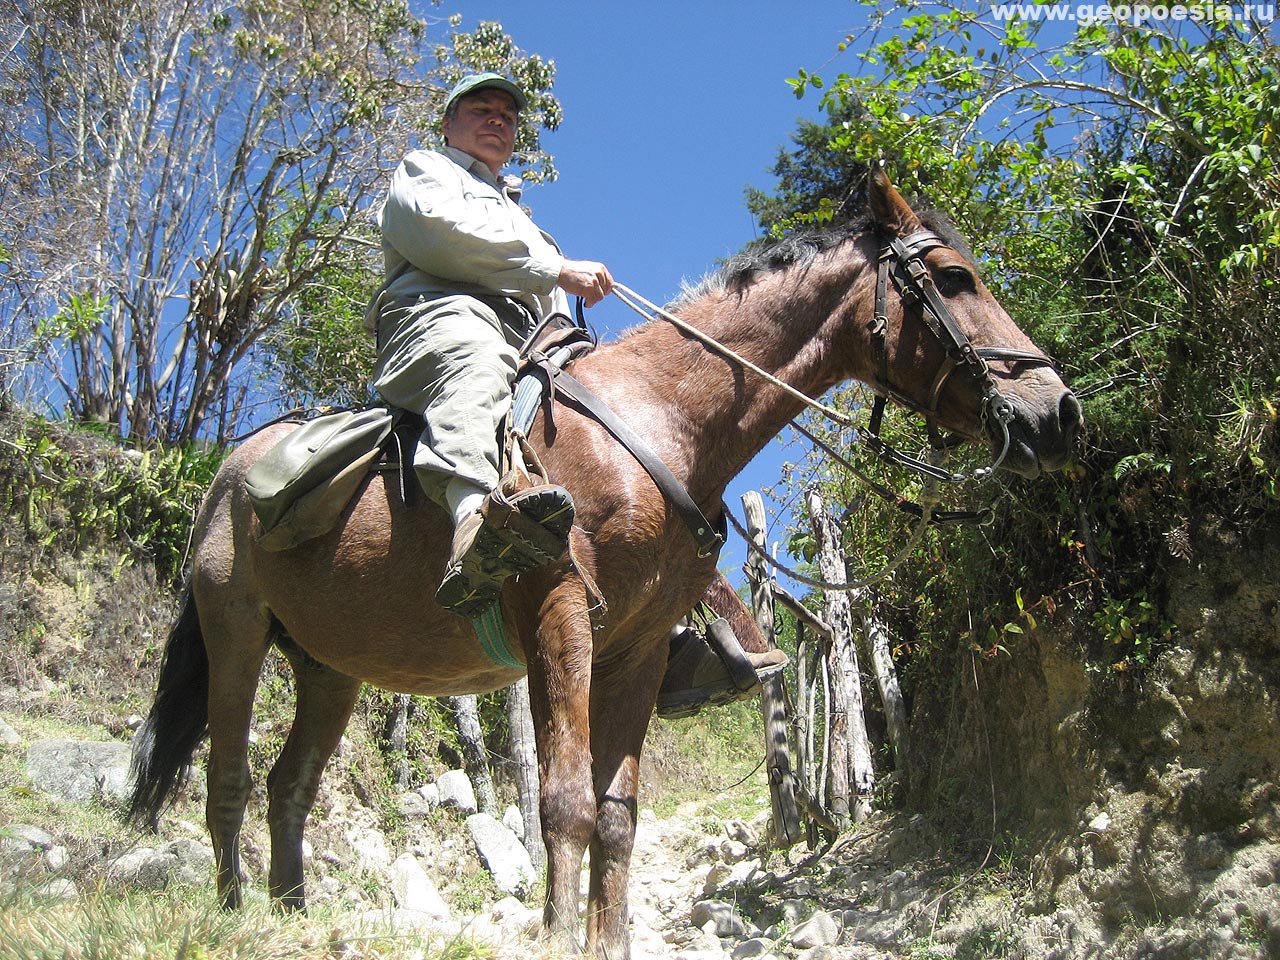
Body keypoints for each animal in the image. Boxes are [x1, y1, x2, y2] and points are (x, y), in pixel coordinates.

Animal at [127, 172, 1080, 960]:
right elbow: (566, 803)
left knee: (289, 786)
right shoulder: (558, 621)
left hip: (329, 669)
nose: (1059, 413)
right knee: (228, 776)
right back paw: (234, 913)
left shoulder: (640, 650)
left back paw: (290, 914)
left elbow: (618, 818)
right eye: (954, 280)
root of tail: (229, 473)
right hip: (235, 632)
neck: (658, 421)